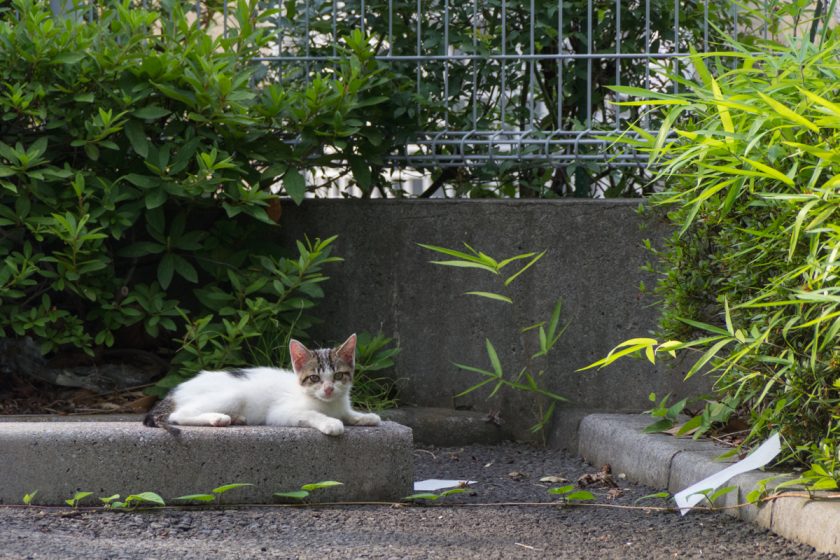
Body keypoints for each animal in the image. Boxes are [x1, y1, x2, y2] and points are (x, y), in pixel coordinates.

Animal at [144, 334, 380, 436]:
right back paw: (218, 418)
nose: (329, 389)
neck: (329, 404)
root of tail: (175, 391)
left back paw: (236, 418)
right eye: (314, 378)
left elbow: (348, 413)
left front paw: (364, 416)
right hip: (233, 395)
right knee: (178, 415)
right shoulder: (281, 412)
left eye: (339, 375)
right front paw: (331, 423)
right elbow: (313, 414)